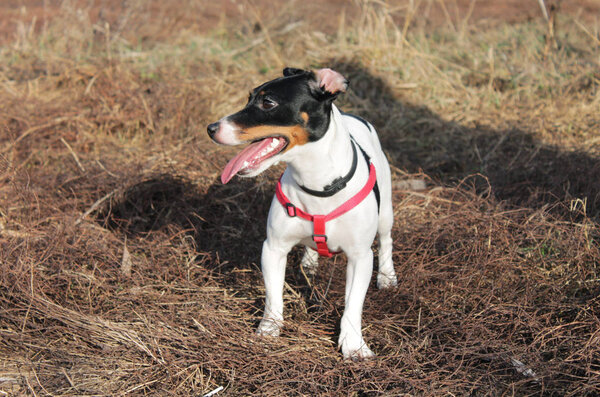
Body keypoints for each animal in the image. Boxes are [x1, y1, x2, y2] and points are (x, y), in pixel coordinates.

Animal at [207, 68, 398, 358]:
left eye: (268, 102)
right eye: (249, 98)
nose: (211, 128)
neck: (316, 182)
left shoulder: (360, 257)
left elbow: (353, 306)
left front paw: (354, 345)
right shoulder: (273, 248)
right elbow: (273, 296)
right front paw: (268, 330)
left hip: (385, 210)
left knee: (386, 240)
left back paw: (387, 276)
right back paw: (310, 261)